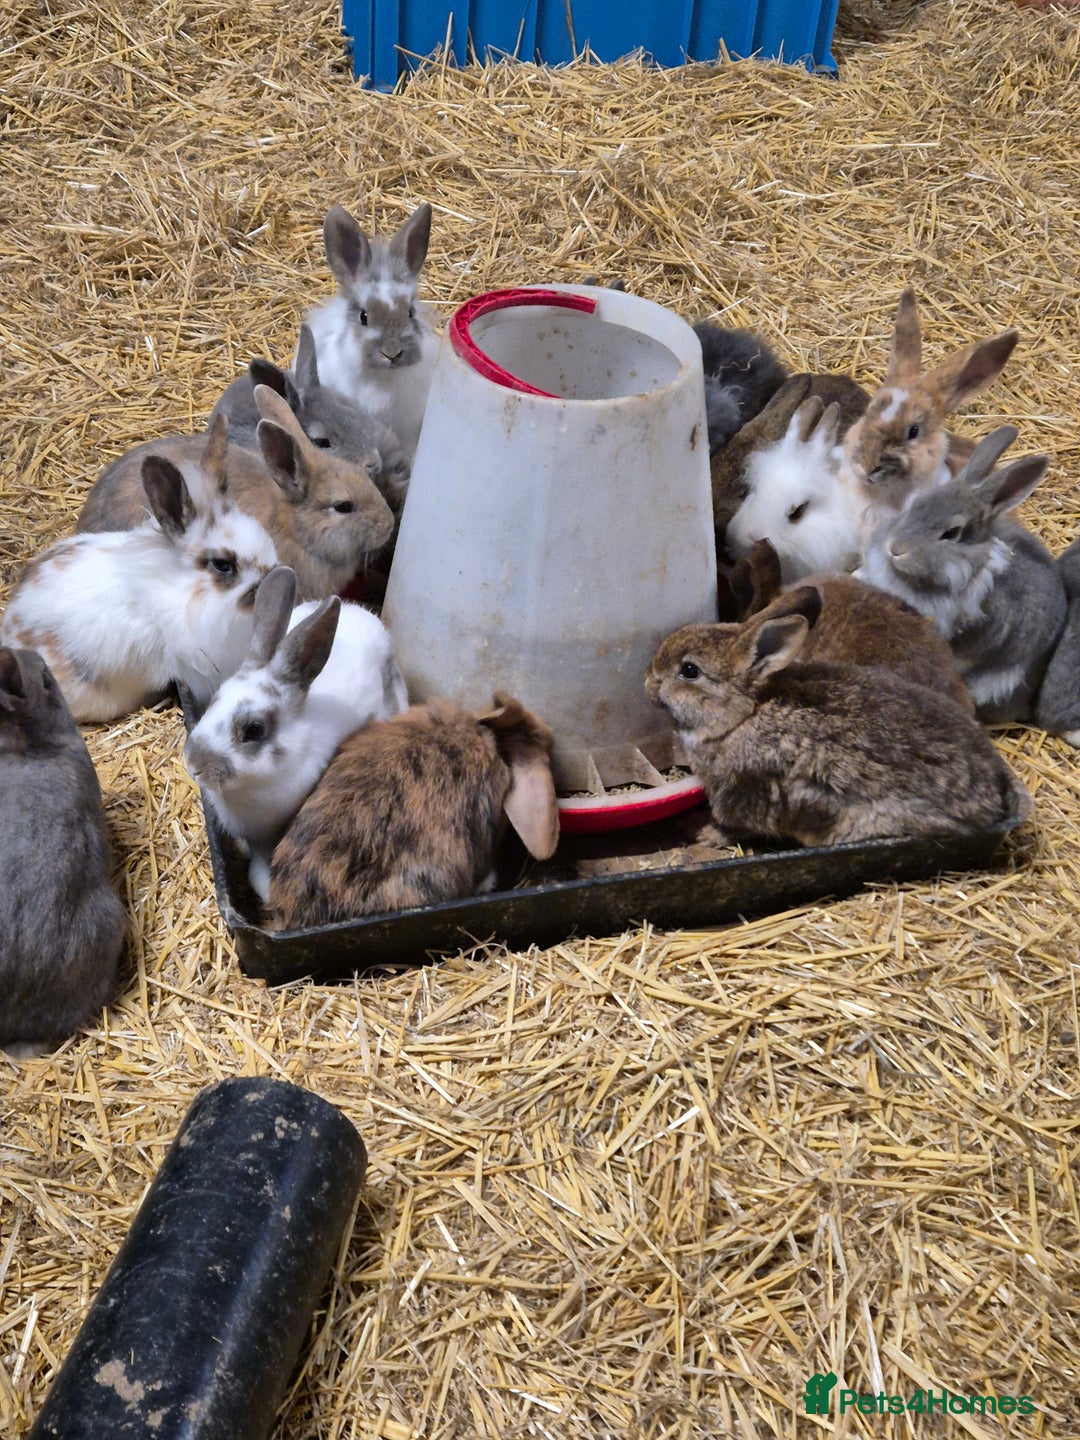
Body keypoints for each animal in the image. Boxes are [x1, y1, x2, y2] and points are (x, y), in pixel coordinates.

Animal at [645, 587, 1031, 849]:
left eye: (689, 671)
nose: (648, 681)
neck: (742, 715)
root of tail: (993, 799)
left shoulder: (744, 790)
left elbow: (735, 824)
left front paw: (706, 834)